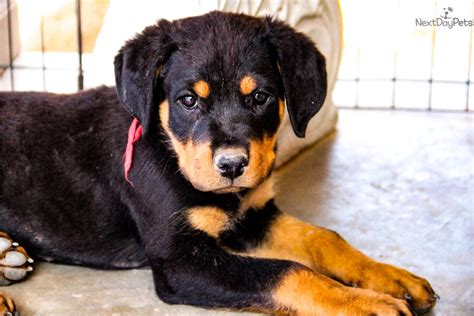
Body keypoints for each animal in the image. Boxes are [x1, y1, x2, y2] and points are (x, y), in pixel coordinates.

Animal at [0, 11, 436, 314]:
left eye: (260, 96)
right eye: (189, 100)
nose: (231, 166)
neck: (168, 147)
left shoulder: (254, 214)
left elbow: (325, 238)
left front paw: (392, 278)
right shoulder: (180, 260)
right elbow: (286, 270)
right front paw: (365, 303)